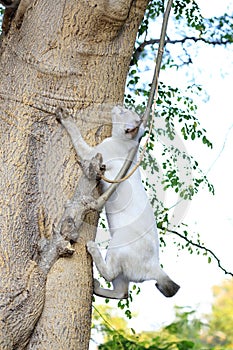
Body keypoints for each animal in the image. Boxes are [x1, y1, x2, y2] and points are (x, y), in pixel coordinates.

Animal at [58, 106, 180, 298]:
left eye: (124, 112)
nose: (118, 106)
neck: (125, 143)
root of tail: (155, 268)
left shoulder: (91, 153)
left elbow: (75, 133)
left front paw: (65, 117)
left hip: (116, 245)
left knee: (110, 274)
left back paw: (92, 249)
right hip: (123, 274)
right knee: (122, 293)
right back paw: (96, 287)